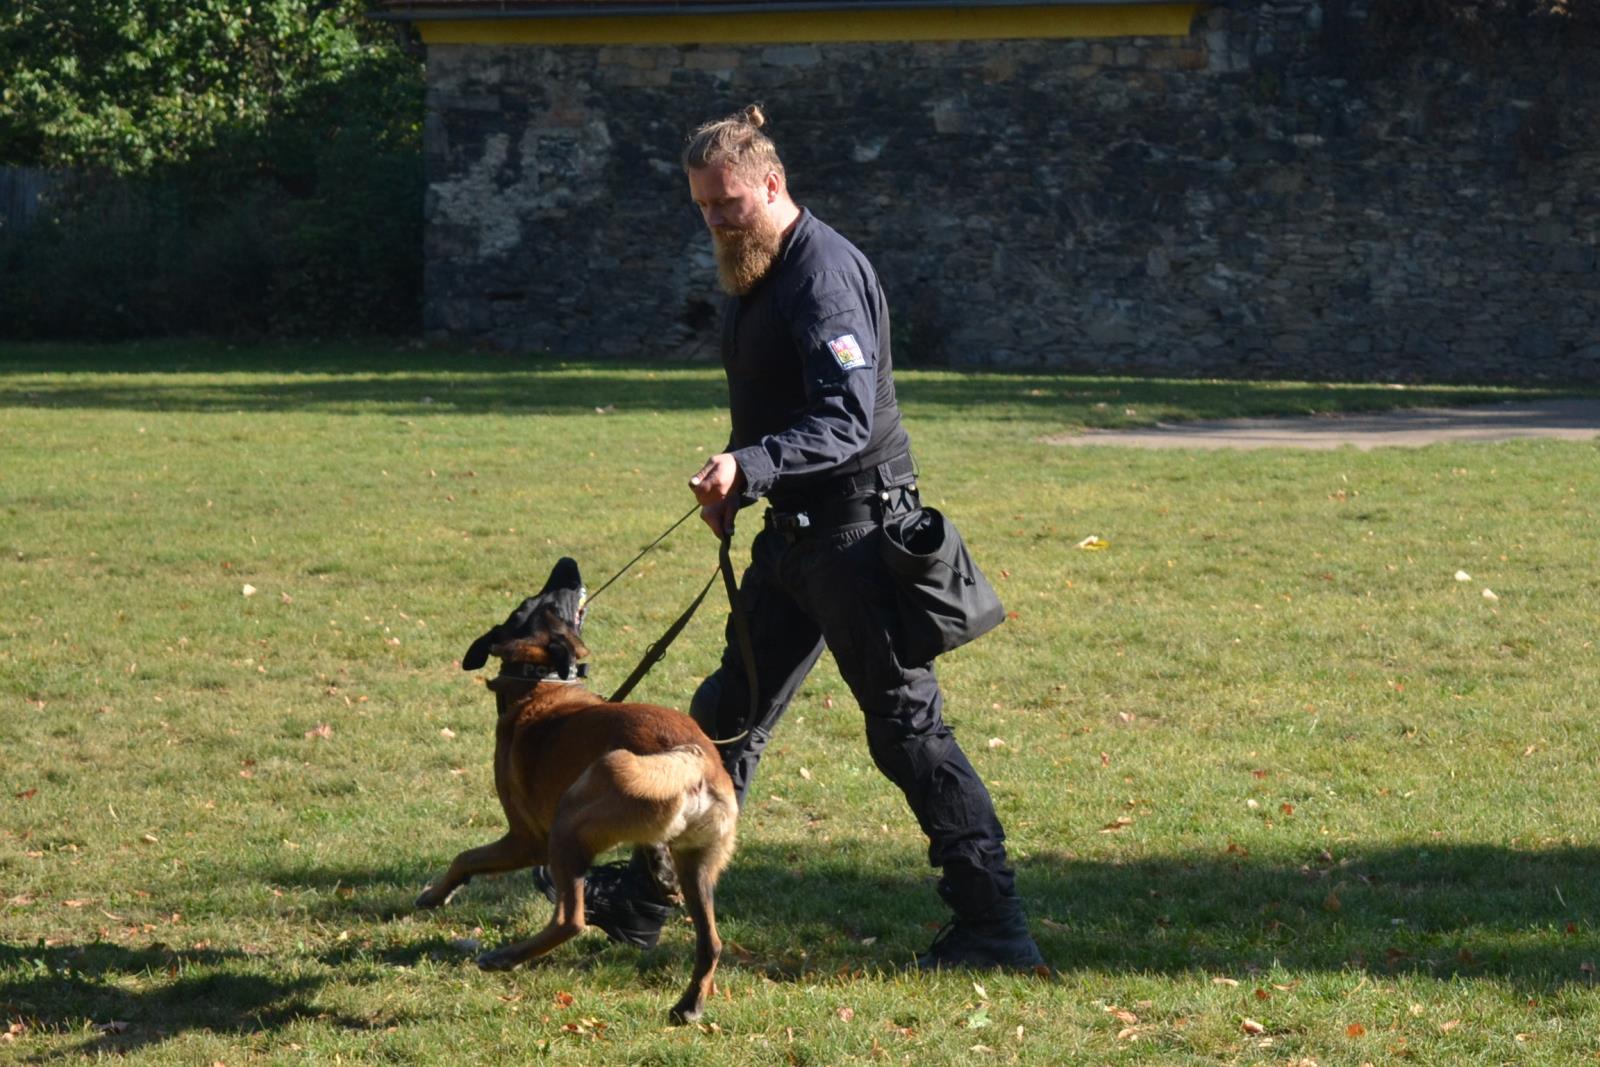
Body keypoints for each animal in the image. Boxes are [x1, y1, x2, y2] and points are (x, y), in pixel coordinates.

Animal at [412, 556, 736, 1023]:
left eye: (535, 602)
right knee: (711, 942)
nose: (567, 564)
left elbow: (465, 857)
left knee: (571, 920)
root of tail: (691, 757)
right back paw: (688, 1005)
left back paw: (503, 957)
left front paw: (435, 895)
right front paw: (658, 872)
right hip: (698, 866)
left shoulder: (526, 839)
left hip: (567, 829)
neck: (542, 683)